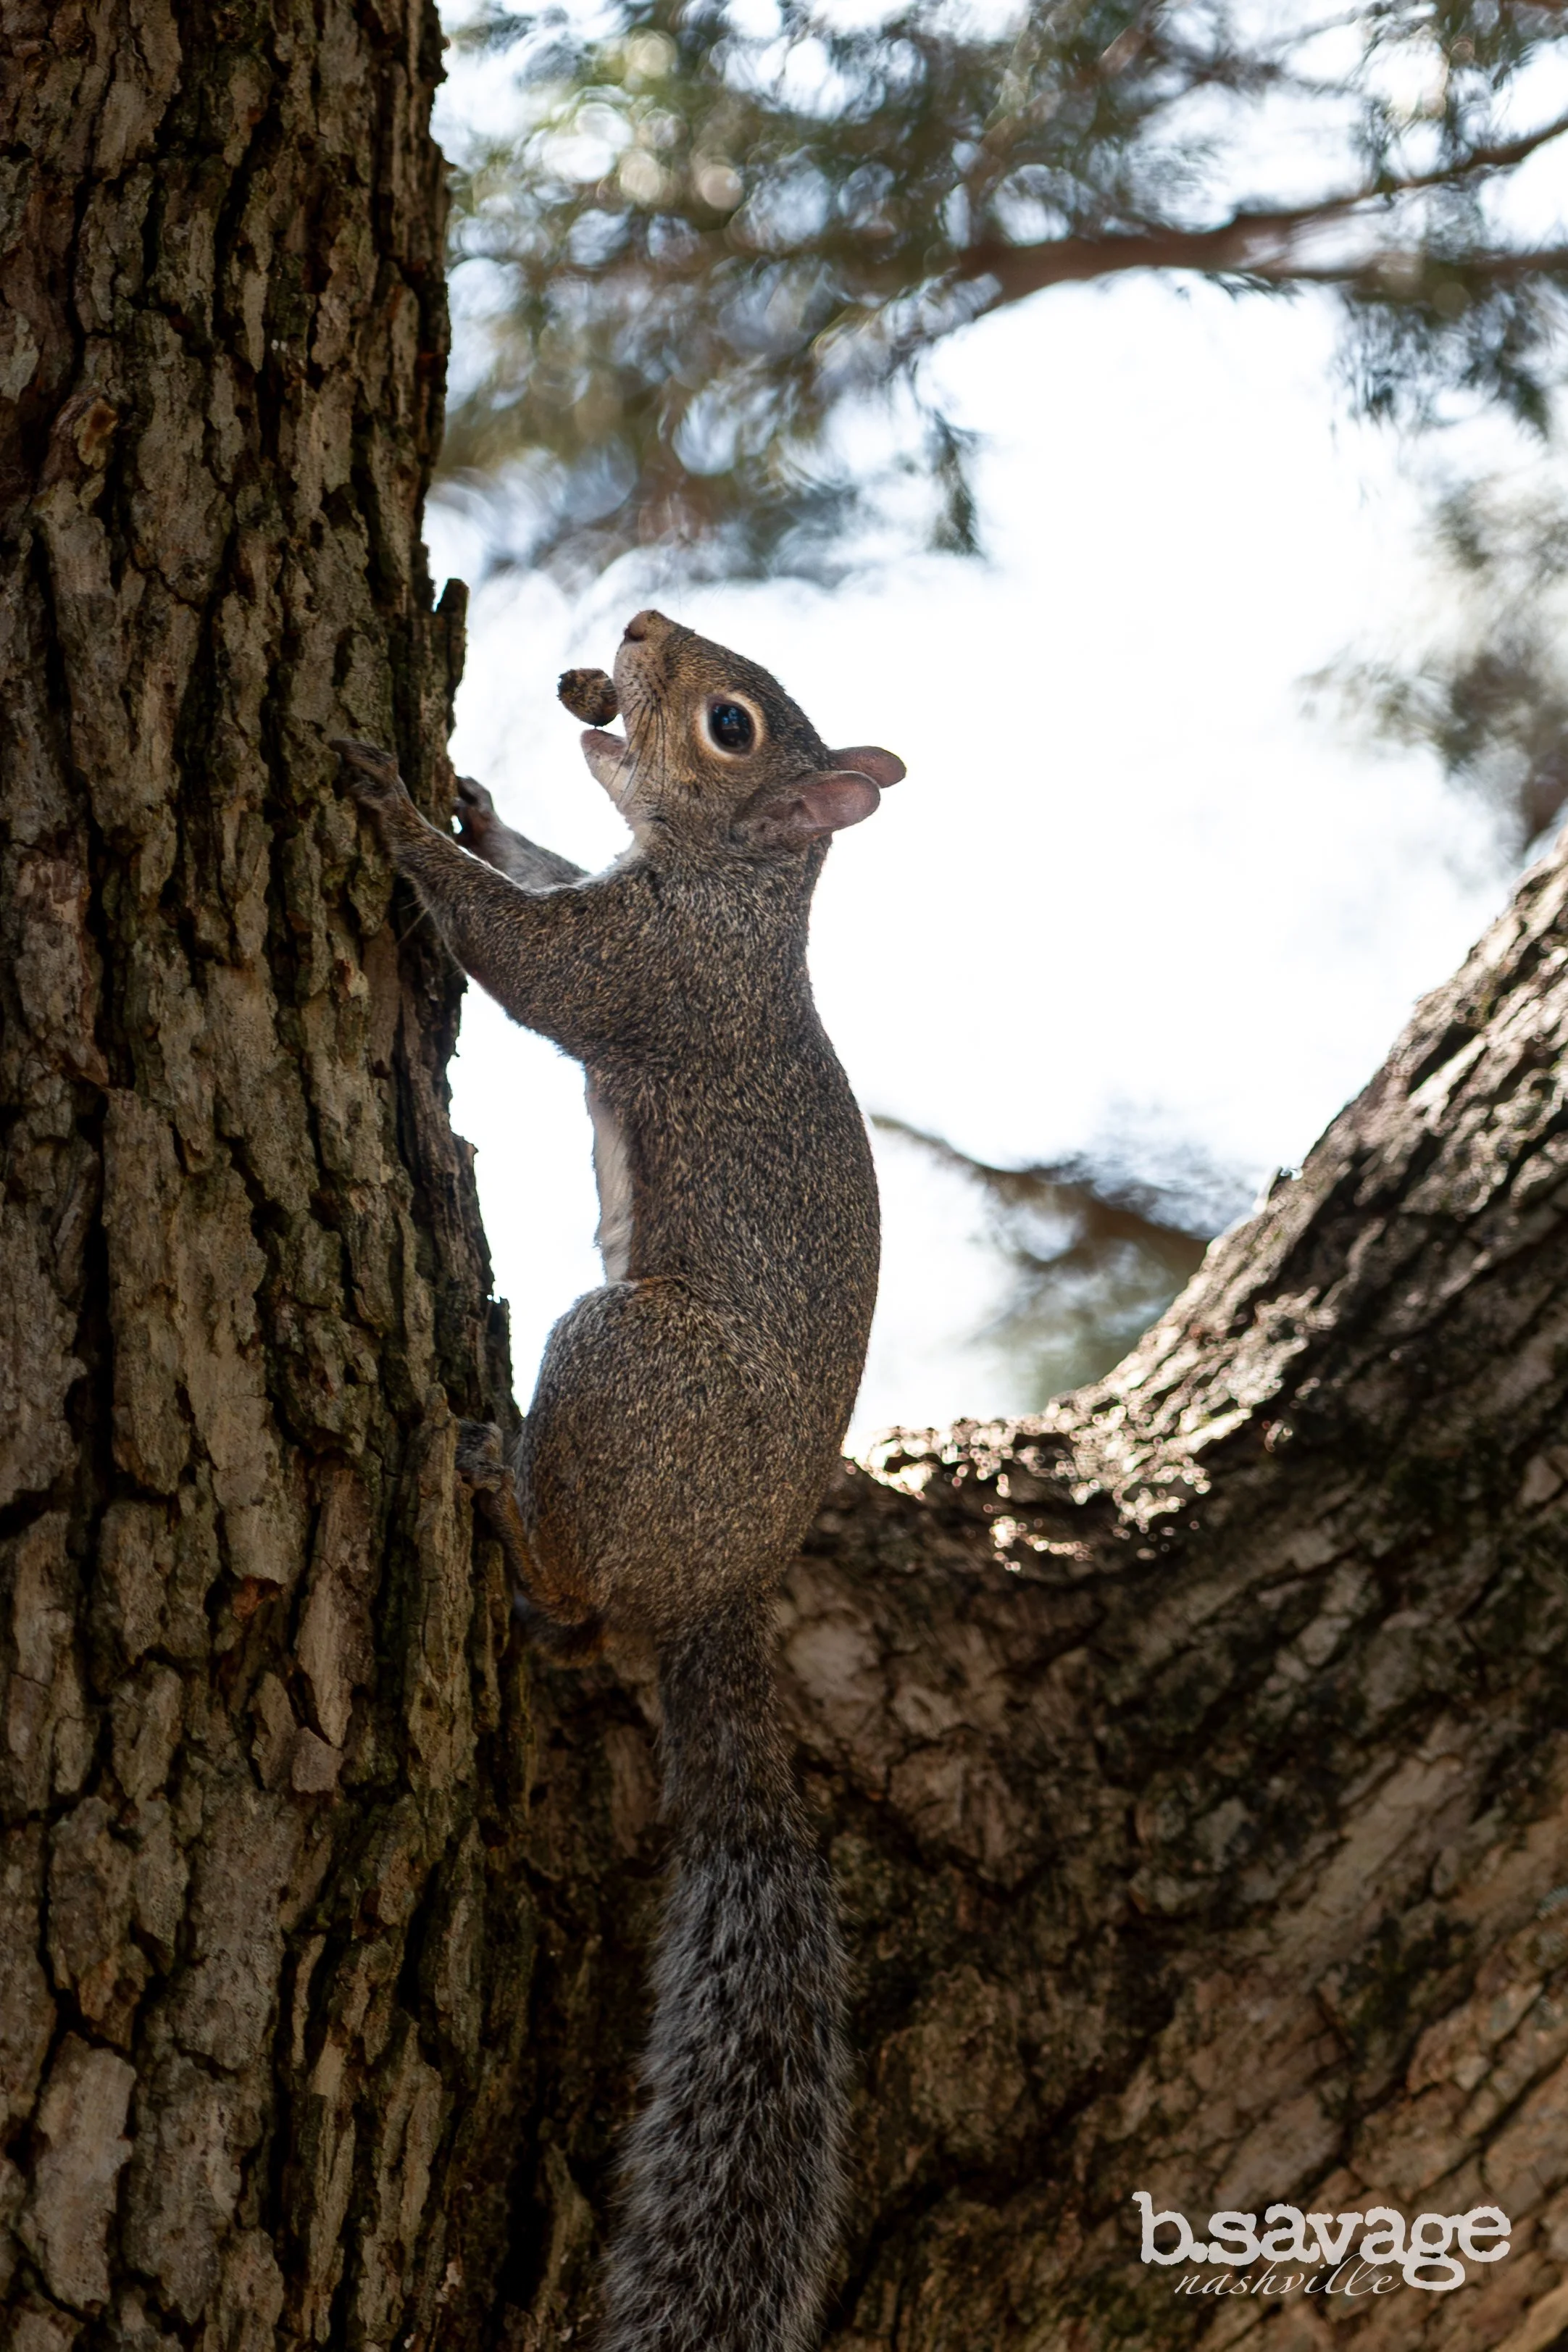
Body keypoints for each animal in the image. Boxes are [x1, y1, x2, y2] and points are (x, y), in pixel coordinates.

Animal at [331, 607, 904, 2352]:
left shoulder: (649, 979)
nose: (638, 631)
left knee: (582, 1605)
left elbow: (527, 961)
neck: (735, 896)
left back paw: (492, 1484)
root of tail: (726, 1583)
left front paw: (395, 812)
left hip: (618, 1371)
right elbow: (532, 875)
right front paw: (472, 795)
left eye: (729, 725)